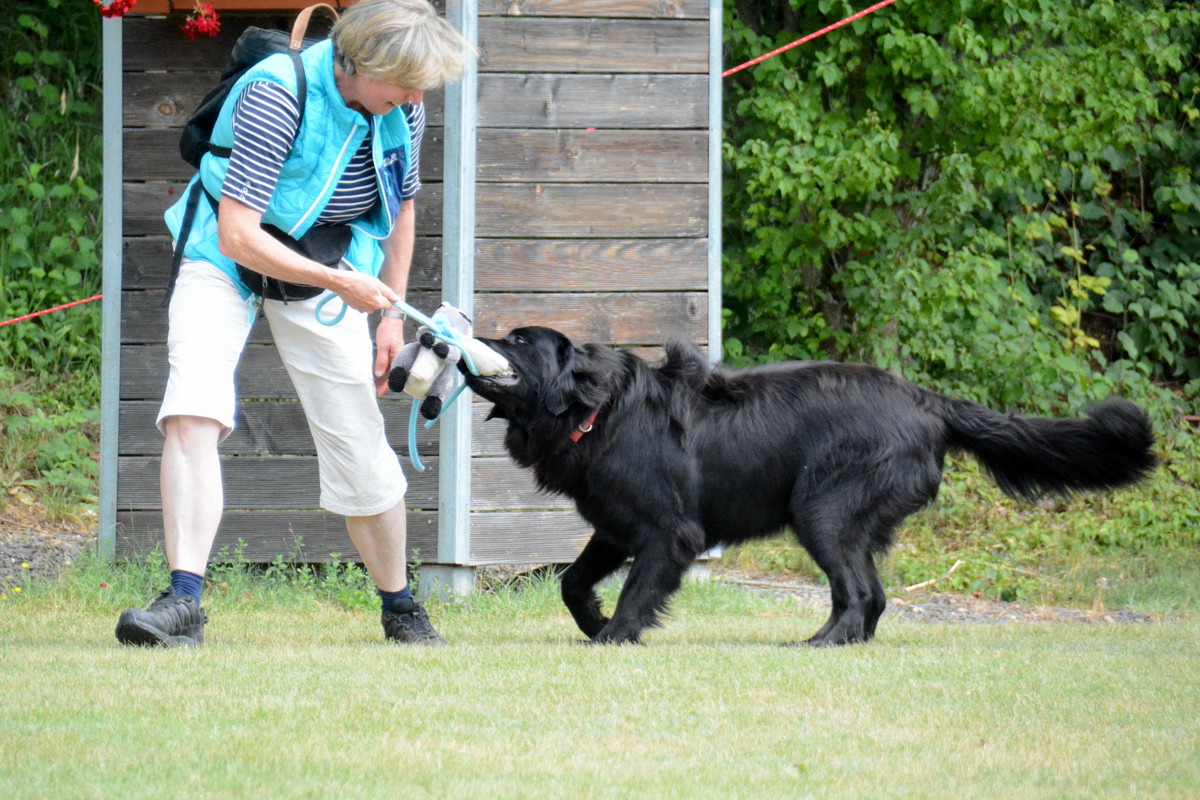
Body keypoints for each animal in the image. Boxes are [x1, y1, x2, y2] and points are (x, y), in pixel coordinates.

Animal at [463, 326, 1156, 642]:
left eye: (519, 341)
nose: (466, 331)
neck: (596, 411)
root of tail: (926, 401)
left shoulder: (668, 531)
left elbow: (638, 592)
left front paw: (614, 634)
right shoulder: (615, 525)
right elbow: (573, 582)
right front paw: (593, 620)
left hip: (822, 510)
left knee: (857, 592)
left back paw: (819, 643)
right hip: (843, 518)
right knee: (873, 595)